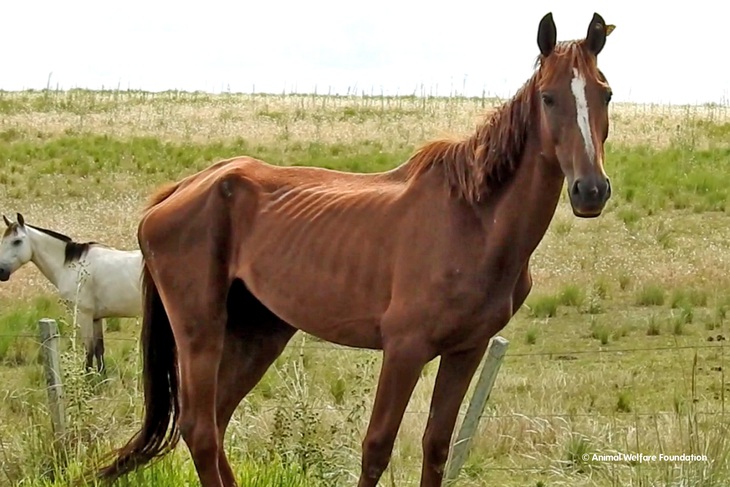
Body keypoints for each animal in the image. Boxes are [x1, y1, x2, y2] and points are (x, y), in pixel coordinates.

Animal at [0, 214, 141, 374]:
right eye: (3, 241)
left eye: (17, 241)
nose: (1, 271)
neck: (72, 266)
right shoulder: (96, 318)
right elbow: (99, 350)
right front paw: (101, 377)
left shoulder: (83, 315)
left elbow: (88, 353)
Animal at [98, 11, 616, 487]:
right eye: (548, 97)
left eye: (605, 93)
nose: (591, 191)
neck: (475, 220)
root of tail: (183, 188)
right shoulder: (404, 349)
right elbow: (376, 448)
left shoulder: (466, 351)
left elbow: (436, 447)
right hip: (200, 330)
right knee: (201, 429)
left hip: (258, 332)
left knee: (215, 421)